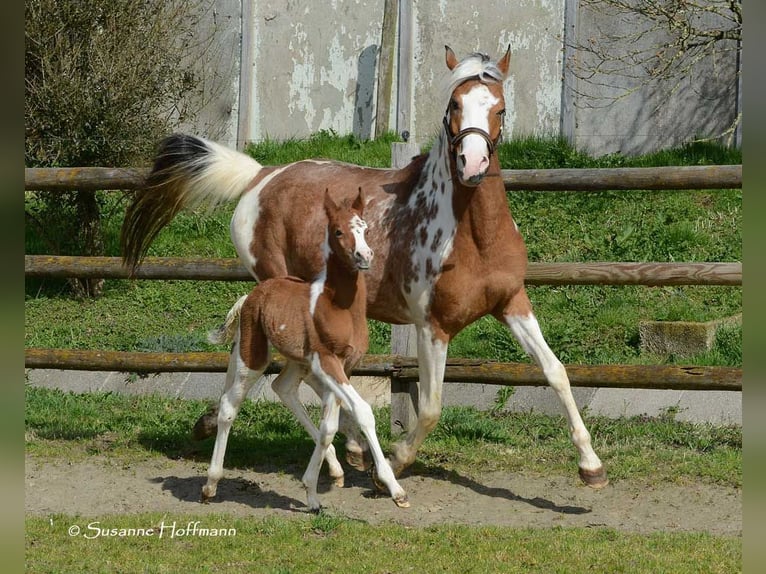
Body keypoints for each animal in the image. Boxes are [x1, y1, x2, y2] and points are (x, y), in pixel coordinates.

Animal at [201, 189, 412, 512]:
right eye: (338, 231)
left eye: (365, 229)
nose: (365, 256)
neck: (339, 306)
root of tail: (252, 294)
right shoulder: (328, 361)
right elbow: (362, 412)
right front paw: (395, 489)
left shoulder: (344, 365)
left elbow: (328, 426)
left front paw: (312, 492)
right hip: (253, 355)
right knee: (228, 407)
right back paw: (210, 485)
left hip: (298, 361)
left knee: (283, 387)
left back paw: (333, 470)